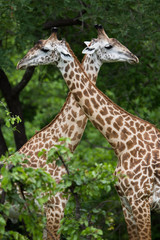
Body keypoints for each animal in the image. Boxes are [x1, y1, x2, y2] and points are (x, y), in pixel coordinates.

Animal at [16, 26, 160, 240]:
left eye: (45, 48)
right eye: (108, 45)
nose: (134, 57)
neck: (123, 142)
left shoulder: (138, 199)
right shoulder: (127, 201)